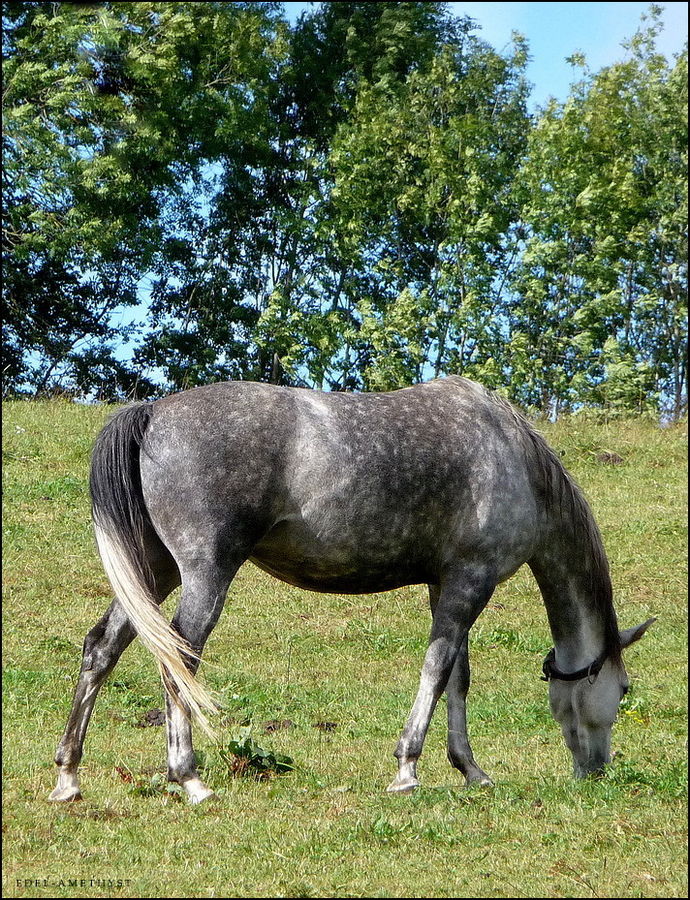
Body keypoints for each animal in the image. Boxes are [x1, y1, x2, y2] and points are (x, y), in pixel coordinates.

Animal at [48, 376, 652, 804]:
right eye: (622, 691)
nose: (597, 771)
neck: (513, 458)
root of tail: (153, 412)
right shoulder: (470, 582)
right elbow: (437, 669)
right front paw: (407, 769)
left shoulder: (447, 583)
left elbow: (457, 677)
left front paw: (471, 770)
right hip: (204, 573)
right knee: (180, 660)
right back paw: (190, 779)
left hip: (153, 573)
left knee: (101, 649)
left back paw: (69, 777)